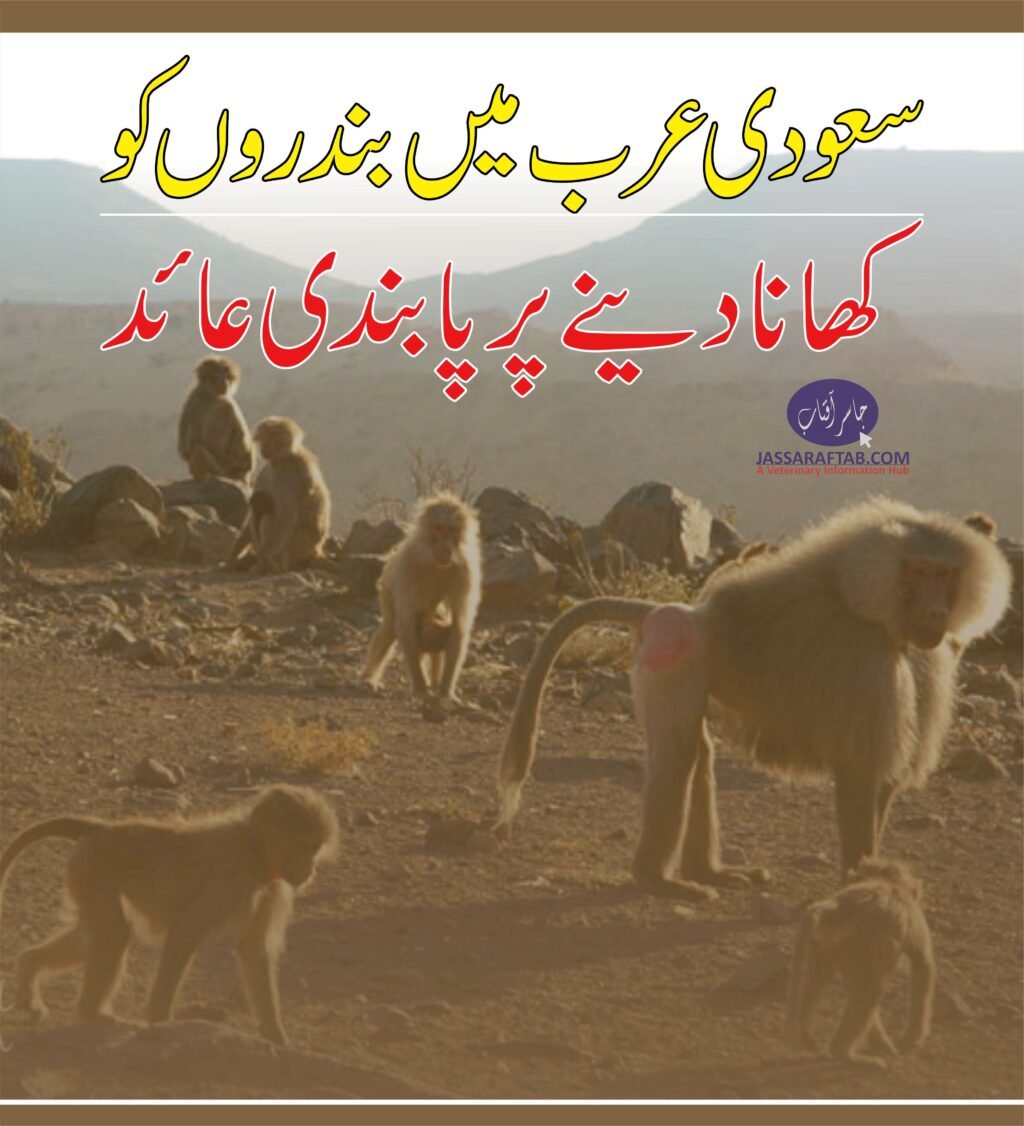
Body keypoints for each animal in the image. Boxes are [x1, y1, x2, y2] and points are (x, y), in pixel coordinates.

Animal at [0, 785, 338, 1045]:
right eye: (301, 846)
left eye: (315, 847)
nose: (310, 870)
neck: (255, 848)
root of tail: (103, 828)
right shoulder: (233, 874)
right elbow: (187, 929)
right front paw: (160, 1019)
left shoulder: (273, 889)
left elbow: (253, 951)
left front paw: (276, 1037)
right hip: (94, 867)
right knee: (114, 932)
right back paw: (92, 1013)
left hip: (85, 871)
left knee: (97, 932)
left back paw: (29, 969)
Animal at [229, 417, 331, 574]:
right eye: (264, 438)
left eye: (271, 438)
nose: (264, 448)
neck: (282, 460)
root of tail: (316, 550)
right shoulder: (266, 471)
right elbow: (254, 511)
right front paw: (233, 556)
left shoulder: (295, 473)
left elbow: (286, 515)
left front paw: (264, 558)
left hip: (300, 544)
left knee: (269, 514)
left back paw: (274, 567)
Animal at [362, 492, 481, 706]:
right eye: (439, 528)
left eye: (452, 530)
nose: (446, 546)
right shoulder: (410, 566)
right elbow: (405, 624)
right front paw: (420, 687)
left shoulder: (465, 570)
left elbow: (459, 625)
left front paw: (446, 691)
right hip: (386, 587)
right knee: (390, 627)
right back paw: (369, 678)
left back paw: (435, 680)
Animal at [495, 497, 1012, 899]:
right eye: (919, 571)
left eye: (946, 574)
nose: (937, 612)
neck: (872, 607)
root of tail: (675, 611)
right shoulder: (868, 666)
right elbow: (861, 770)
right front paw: (859, 885)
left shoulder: (922, 661)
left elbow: (883, 779)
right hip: (673, 656)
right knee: (679, 753)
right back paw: (658, 880)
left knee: (698, 754)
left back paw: (709, 873)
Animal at [785, 858, 935, 1067]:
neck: (886, 880)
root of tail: (838, 905)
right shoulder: (913, 918)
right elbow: (923, 964)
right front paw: (910, 1040)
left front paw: (884, 1043)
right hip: (858, 940)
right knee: (872, 990)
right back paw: (844, 1053)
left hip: (835, 941)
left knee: (820, 978)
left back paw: (808, 1037)